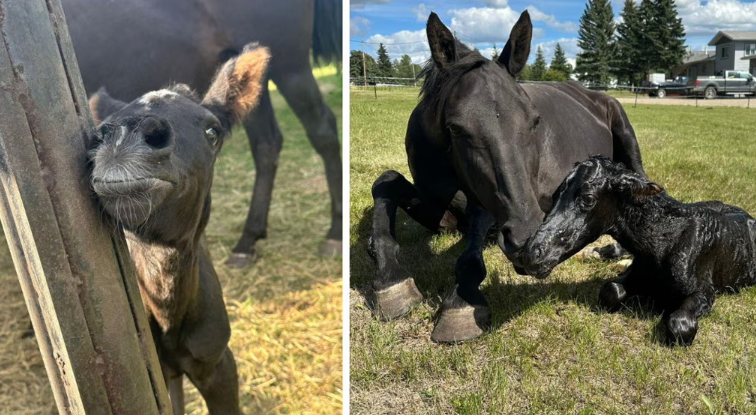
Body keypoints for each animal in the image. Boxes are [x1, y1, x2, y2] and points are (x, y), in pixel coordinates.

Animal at [520, 155, 756, 344]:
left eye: (587, 199)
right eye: (555, 195)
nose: (529, 255)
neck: (663, 244)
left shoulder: (705, 290)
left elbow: (680, 325)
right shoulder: (636, 273)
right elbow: (610, 291)